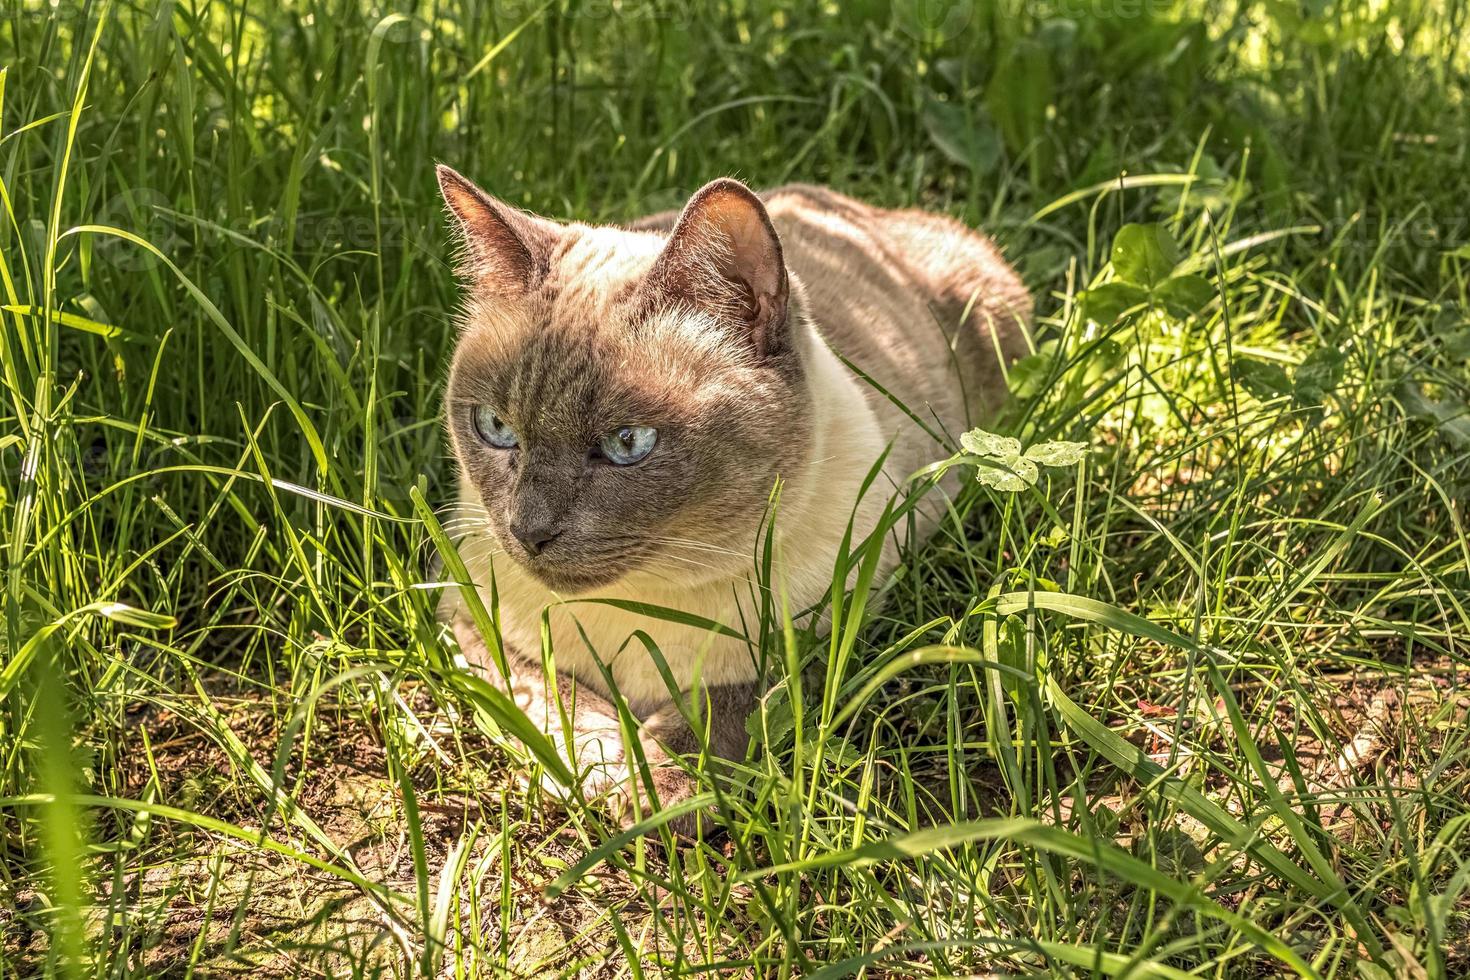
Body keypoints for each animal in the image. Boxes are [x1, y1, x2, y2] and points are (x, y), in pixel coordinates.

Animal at [435, 170, 1034, 834]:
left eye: (627, 443)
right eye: (495, 428)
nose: (528, 531)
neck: (639, 605)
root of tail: (852, 204)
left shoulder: (822, 636)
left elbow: (721, 713)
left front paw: (651, 795)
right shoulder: (469, 622)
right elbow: (550, 702)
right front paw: (602, 768)